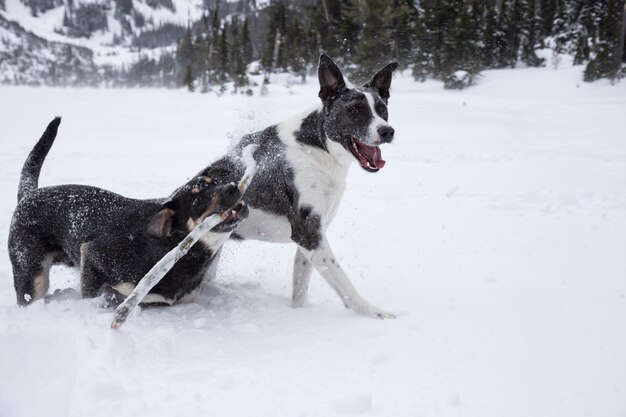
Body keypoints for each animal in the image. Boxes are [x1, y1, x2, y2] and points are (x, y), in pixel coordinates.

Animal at [207, 53, 398, 316]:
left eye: (382, 109)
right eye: (354, 110)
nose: (387, 131)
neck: (317, 146)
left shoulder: (314, 233)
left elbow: (300, 284)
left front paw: (297, 313)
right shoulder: (308, 232)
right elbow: (342, 281)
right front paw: (373, 313)